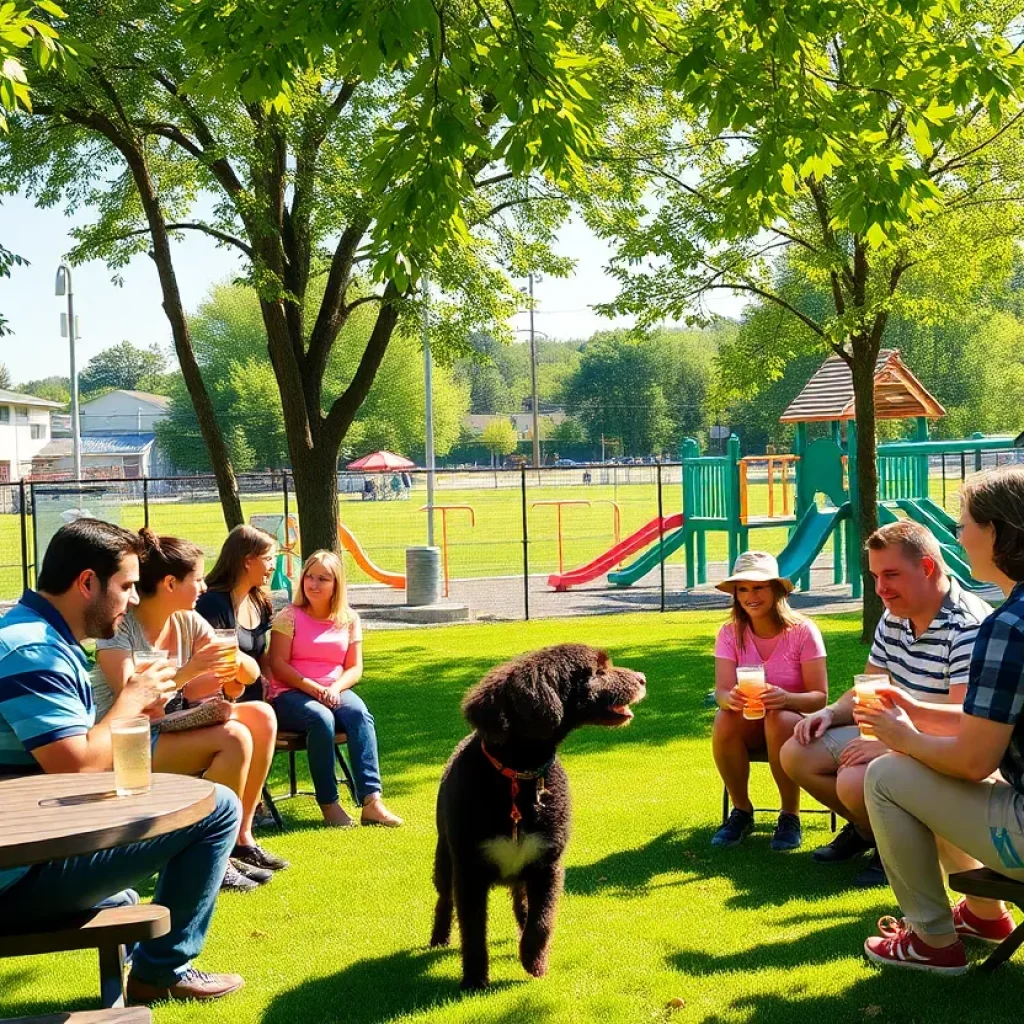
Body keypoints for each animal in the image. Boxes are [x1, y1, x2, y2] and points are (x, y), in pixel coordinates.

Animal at [430, 643, 638, 987]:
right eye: (598, 671)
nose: (642, 678)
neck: (519, 777)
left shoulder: (547, 864)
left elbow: (541, 921)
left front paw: (534, 961)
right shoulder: (470, 871)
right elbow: (473, 931)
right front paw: (474, 979)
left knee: (523, 906)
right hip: (446, 858)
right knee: (445, 900)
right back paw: (439, 937)